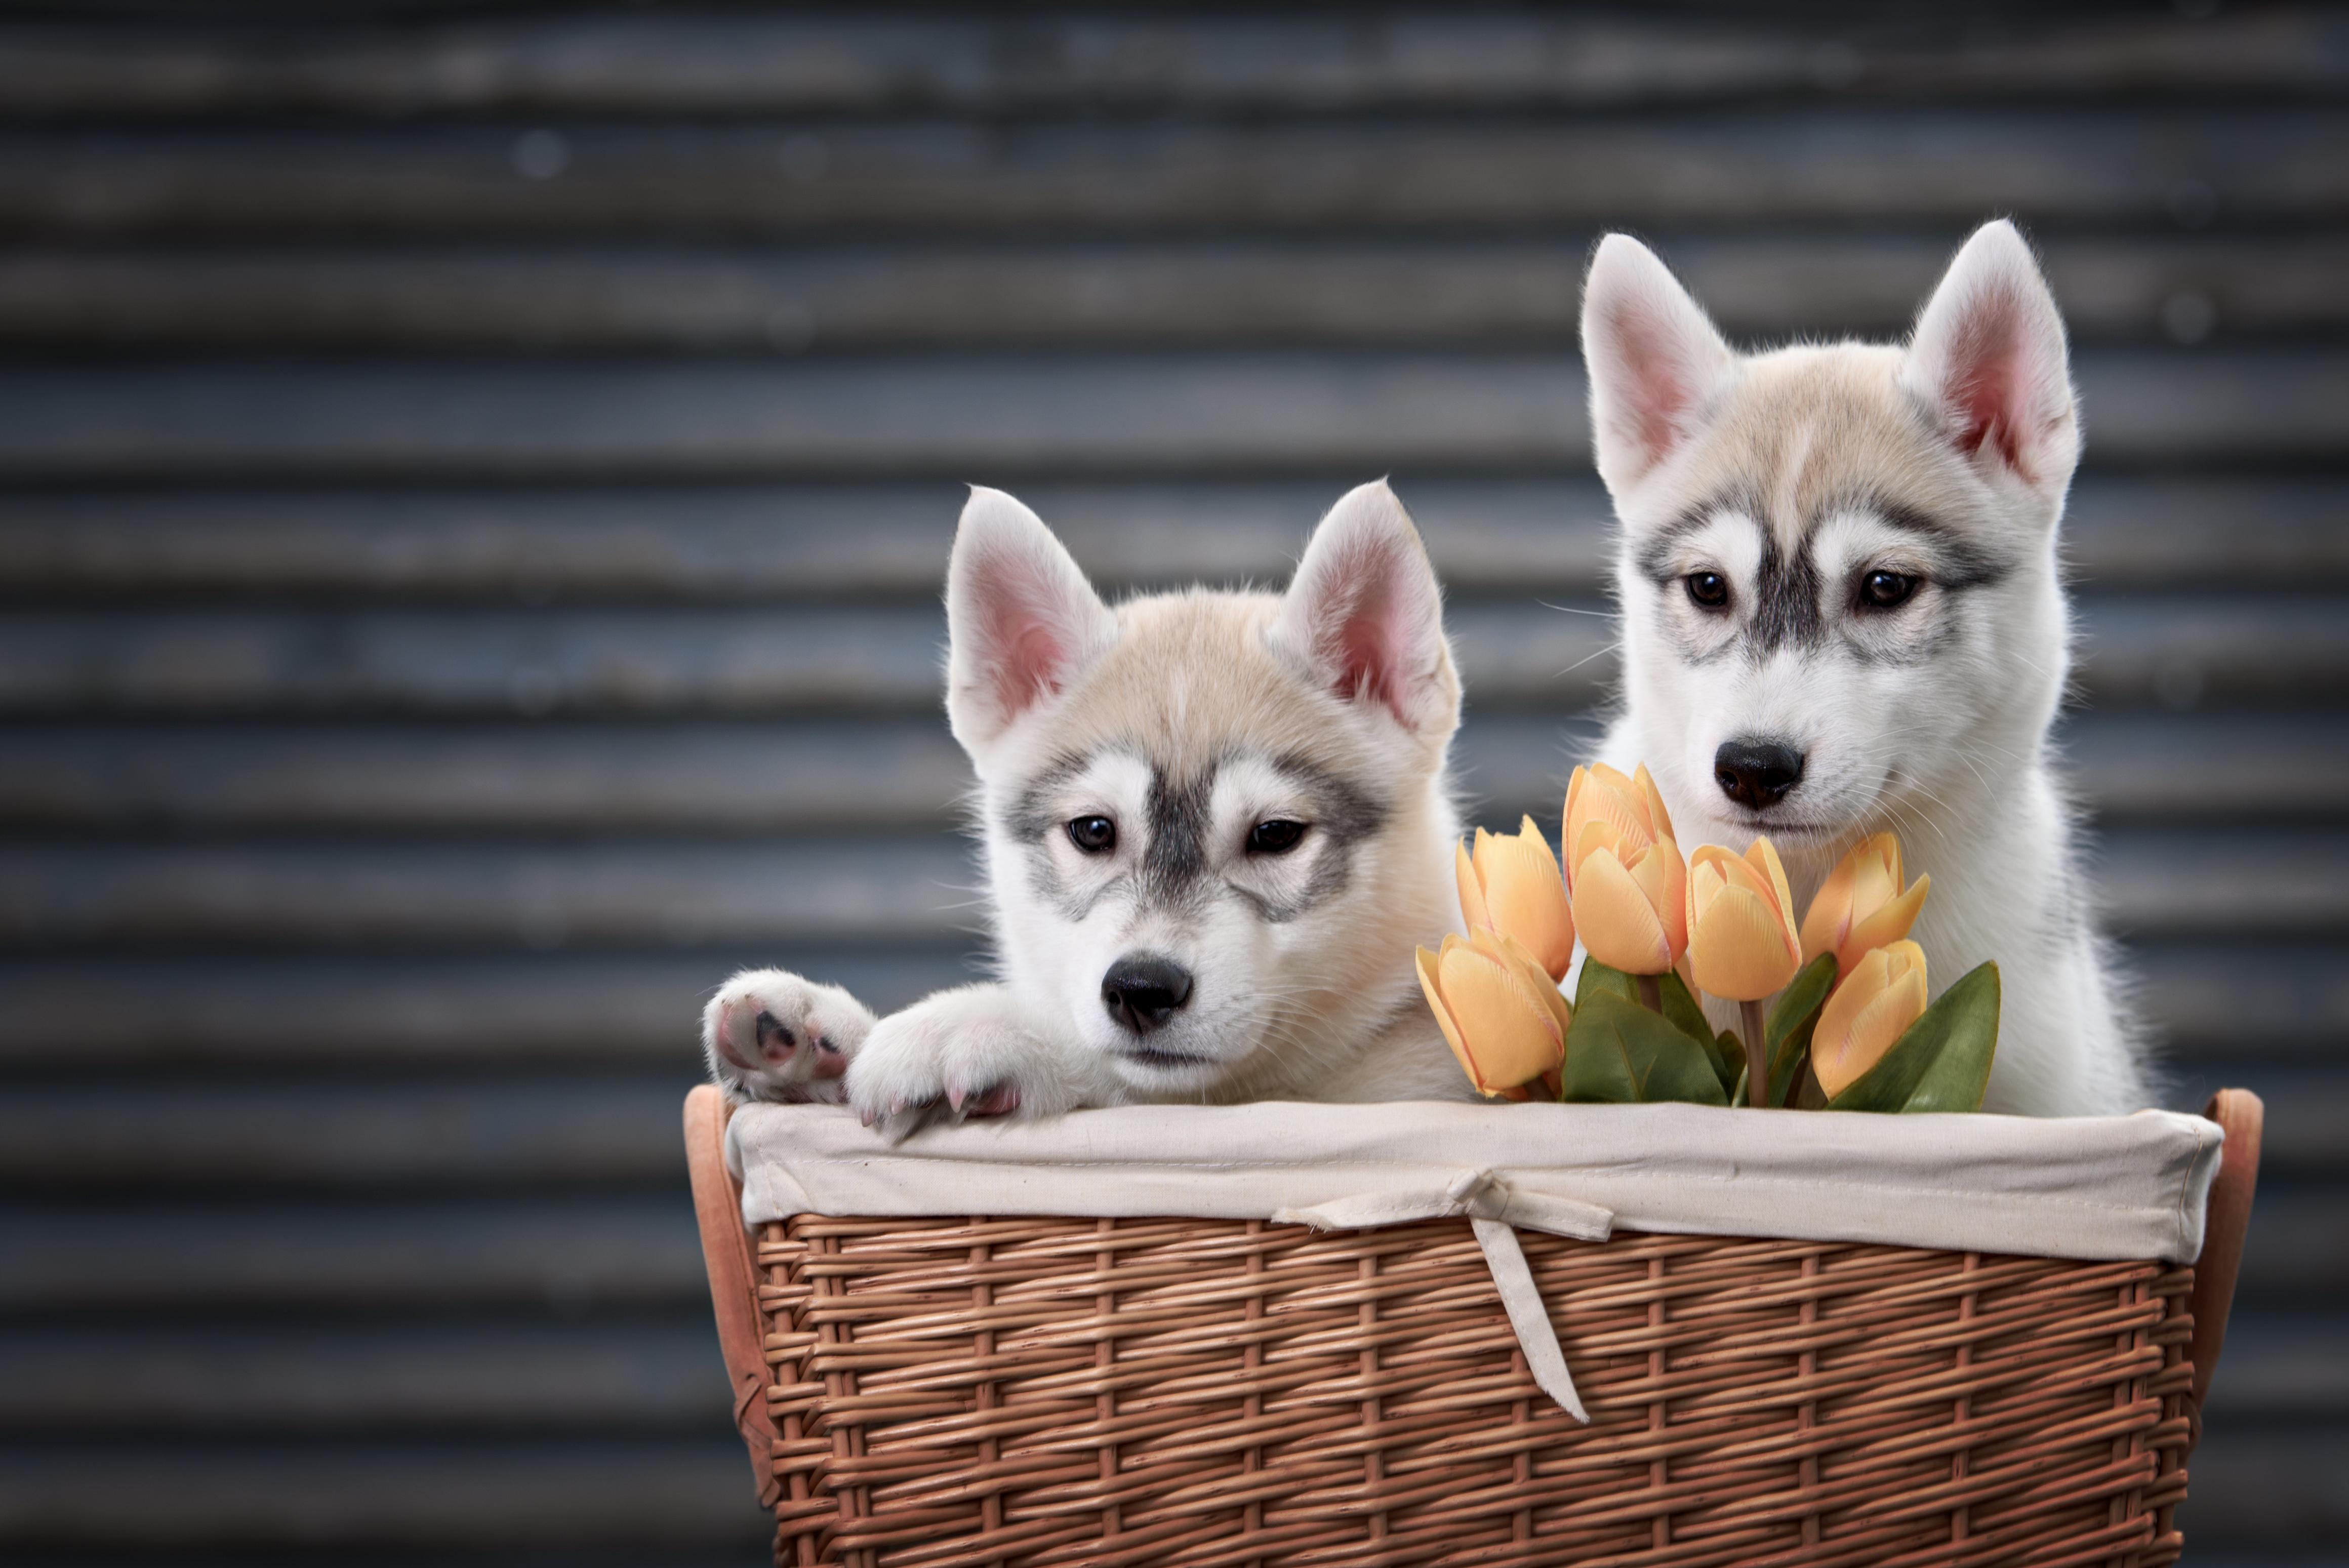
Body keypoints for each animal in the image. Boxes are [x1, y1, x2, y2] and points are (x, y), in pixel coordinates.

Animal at [695, 484, 1475, 1133]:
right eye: (1094, 830)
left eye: (1276, 835)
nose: (1141, 990)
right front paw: (822, 1036)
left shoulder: (1399, 1086)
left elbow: (1122, 1080)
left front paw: (983, 1027)